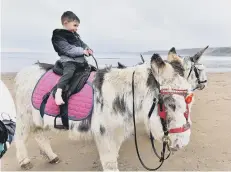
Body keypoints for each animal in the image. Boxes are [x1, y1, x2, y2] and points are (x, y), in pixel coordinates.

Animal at [14, 52, 195, 171]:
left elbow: (112, 158)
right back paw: (25, 162)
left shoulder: (117, 133)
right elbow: (109, 162)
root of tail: (24, 70)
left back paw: (52, 157)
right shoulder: (104, 135)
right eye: (170, 102)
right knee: (20, 136)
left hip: (37, 117)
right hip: (24, 116)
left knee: (39, 134)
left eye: (190, 99)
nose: (183, 143)